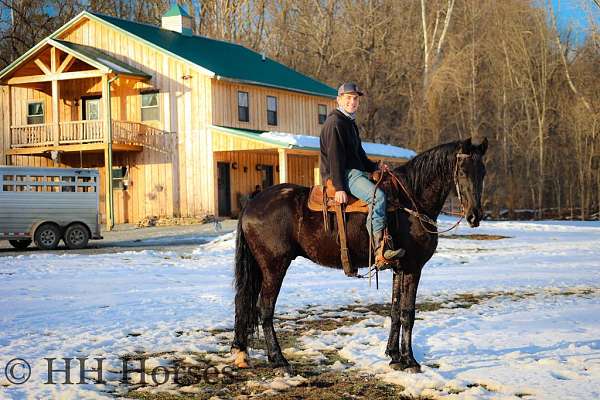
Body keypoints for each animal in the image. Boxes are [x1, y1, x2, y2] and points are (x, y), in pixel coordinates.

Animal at [230, 137, 488, 372]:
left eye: (483, 172)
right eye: (462, 171)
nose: (475, 216)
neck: (411, 201)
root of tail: (252, 203)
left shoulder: (398, 268)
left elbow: (395, 311)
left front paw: (394, 356)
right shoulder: (413, 267)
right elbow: (408, 313)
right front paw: (411, 361)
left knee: (245, 303)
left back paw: (243, 353)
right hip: (274, 267)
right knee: (265, 309)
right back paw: (279, 360)